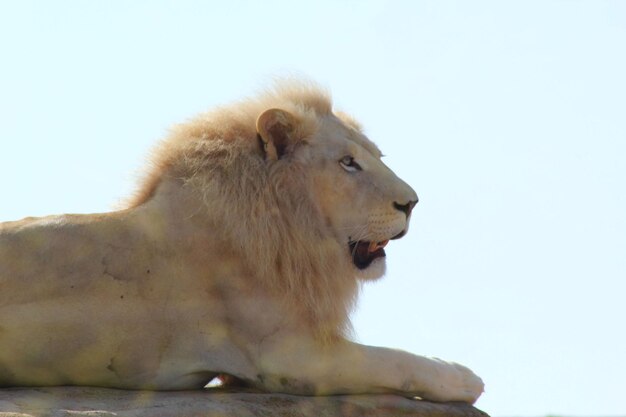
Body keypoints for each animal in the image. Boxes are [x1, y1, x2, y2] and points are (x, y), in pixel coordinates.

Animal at [0, 81, 482, 404]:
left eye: (377, 157)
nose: (412, 203)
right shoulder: (286, 356)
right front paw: (463, 378)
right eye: (348, 163)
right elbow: (394, 360)